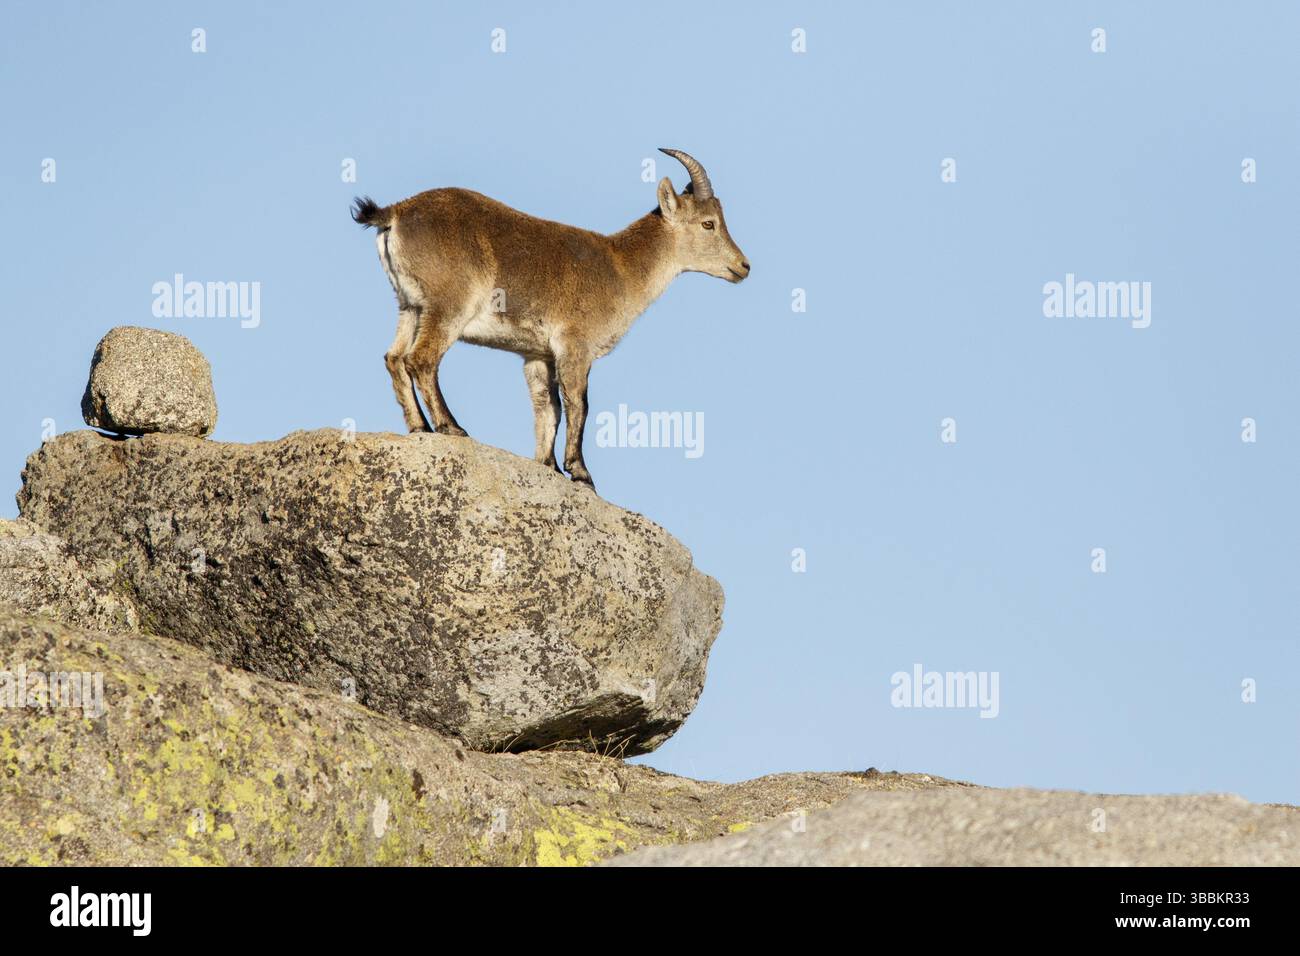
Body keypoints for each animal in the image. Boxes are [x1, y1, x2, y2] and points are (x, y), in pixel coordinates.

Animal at [351, 149, 749, 489]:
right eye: (708, 224)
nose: (743, 265)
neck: (621, 269)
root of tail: (395, 213)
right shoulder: (575, 345)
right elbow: (579, 404)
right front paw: (581, 473)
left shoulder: (537, 355)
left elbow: (548, 408)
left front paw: (549, 465)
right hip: (448, 306)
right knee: (421, 359)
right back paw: (452, 427)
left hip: (410, 306)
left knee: (394, 358)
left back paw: (420, 427)